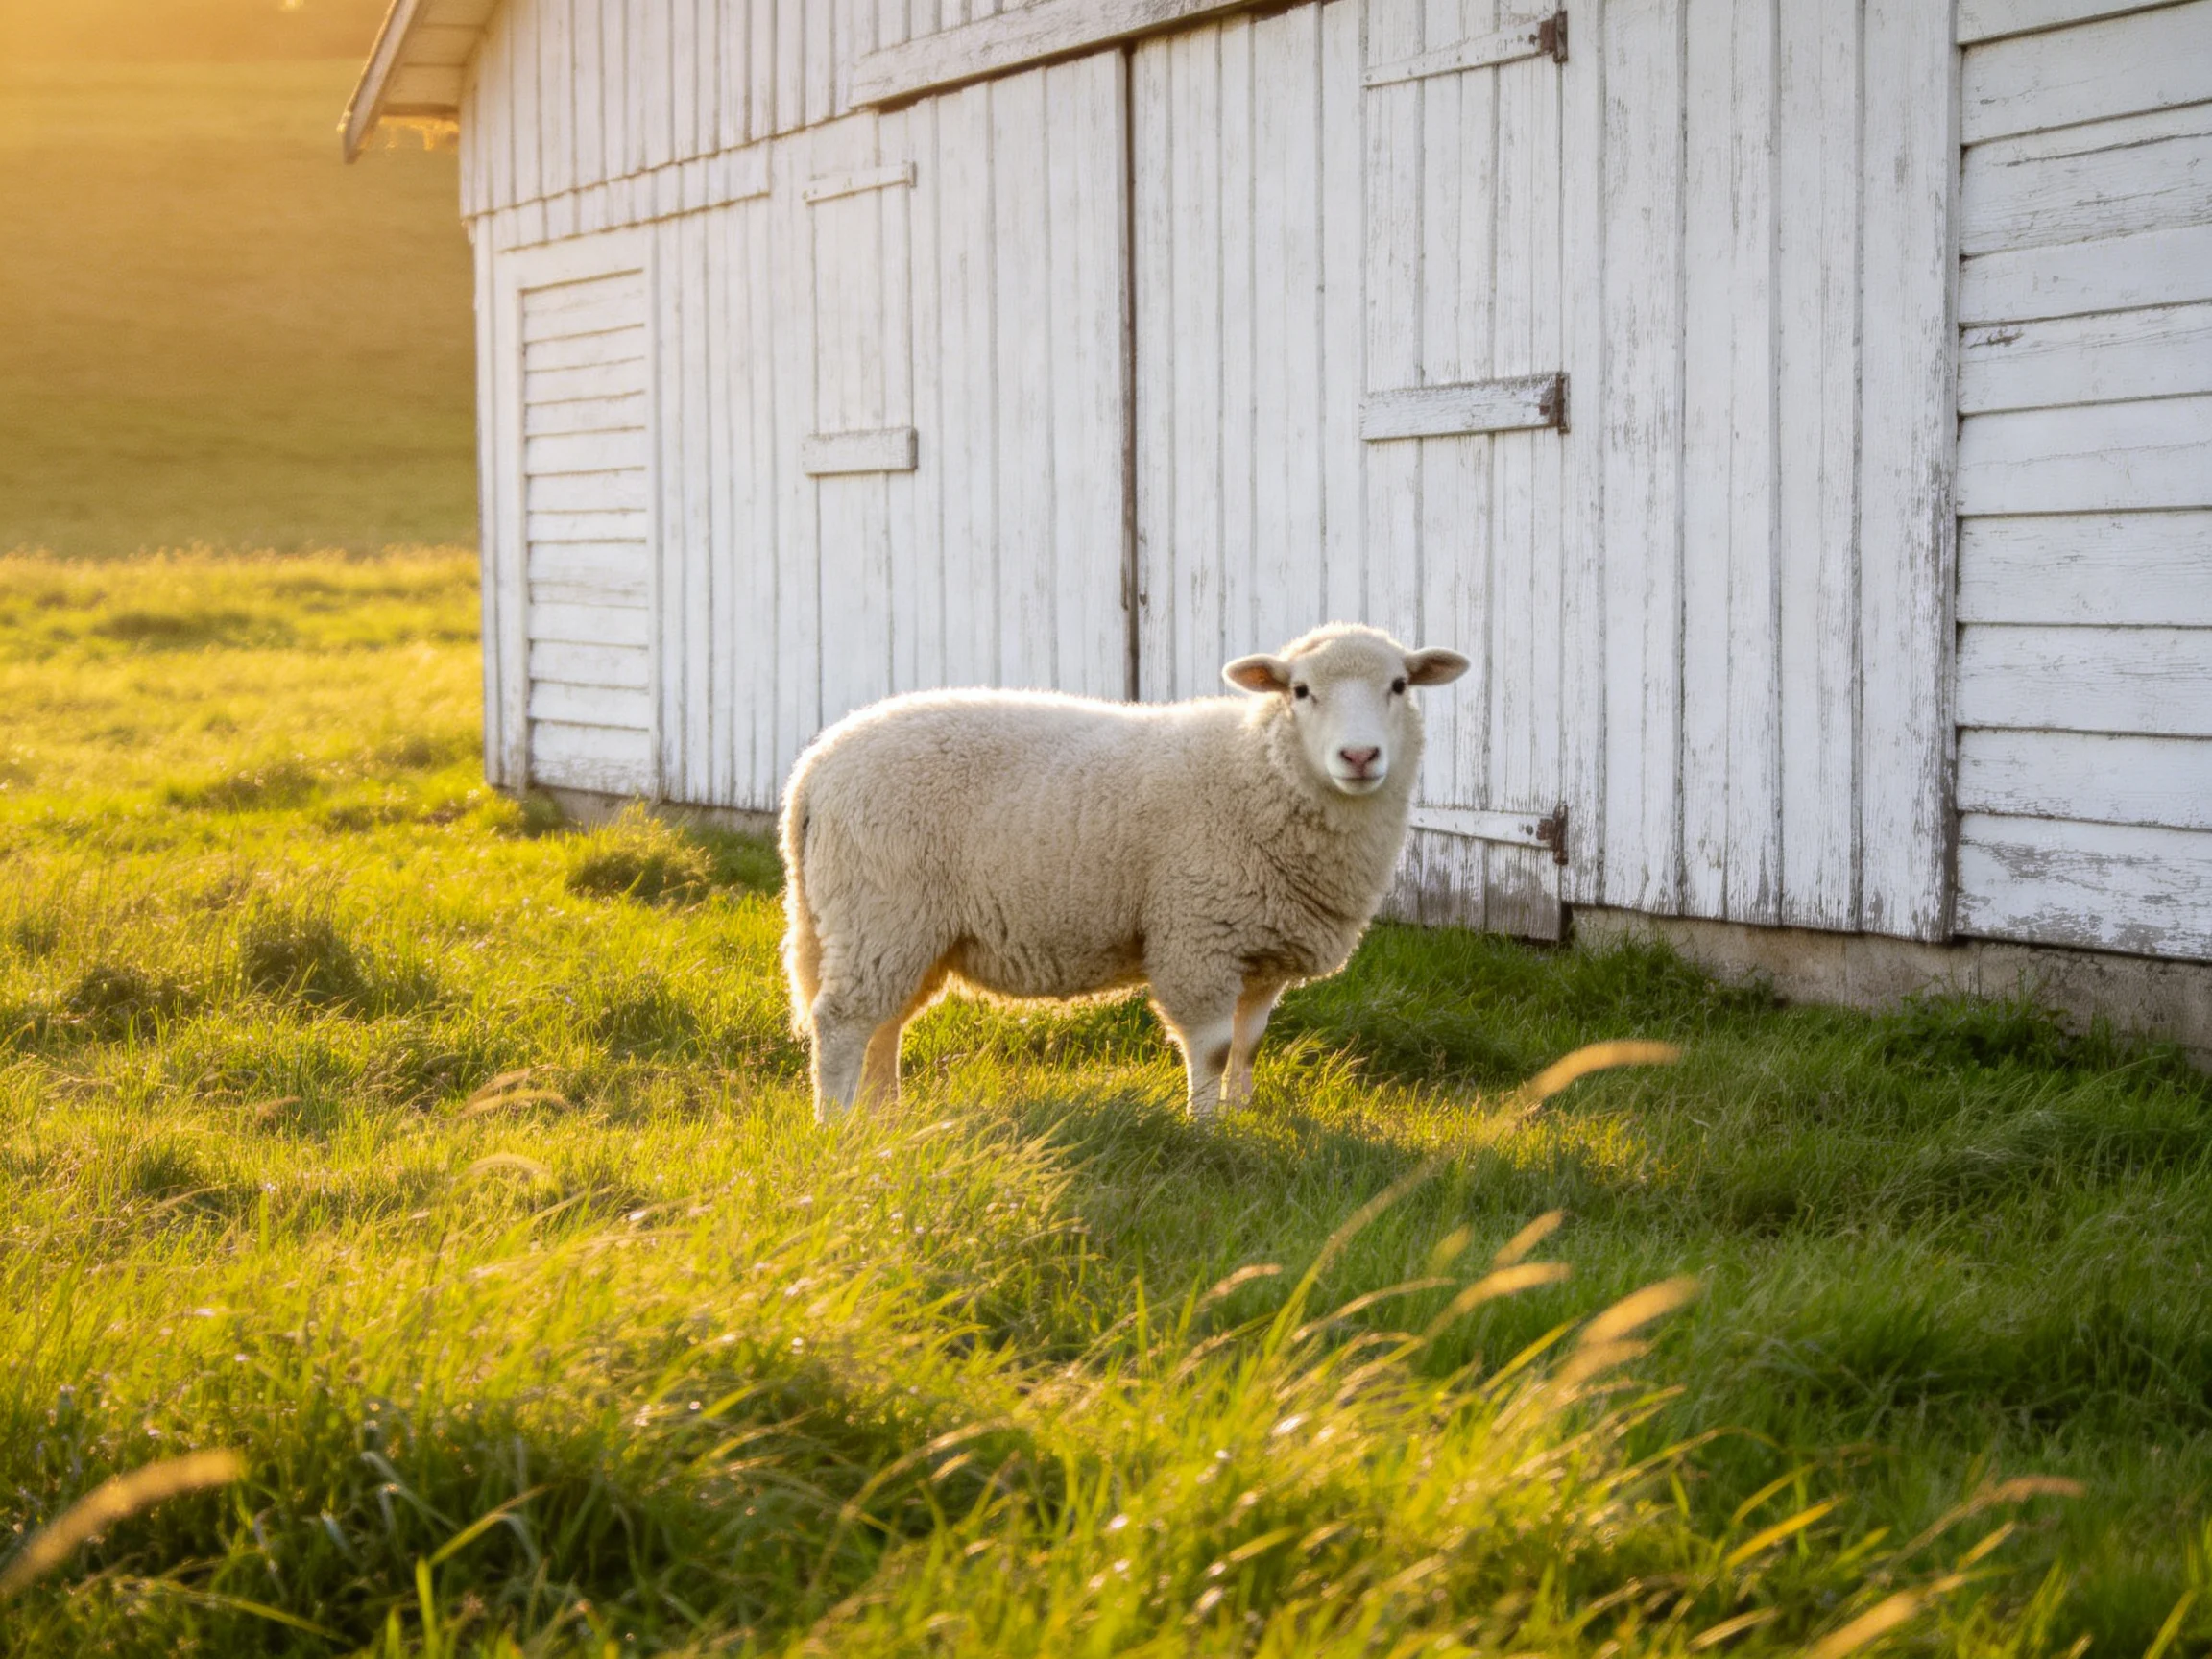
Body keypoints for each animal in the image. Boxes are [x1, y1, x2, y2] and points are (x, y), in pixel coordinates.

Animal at [779, 624, 1470, 1121]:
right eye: (1299, 692)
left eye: (1400, 685)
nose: (1360, 756)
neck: (1260, 771)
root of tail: (815, 767)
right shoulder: (1198, 937)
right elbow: (1213, 1050)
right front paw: (1206, 1129)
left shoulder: (1262, 950)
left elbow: (1248, 1045)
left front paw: (1244, 1119)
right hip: (880, 910)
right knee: (841, 1023)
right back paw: (837, 1127)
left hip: (909, 931)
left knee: (884, 1024)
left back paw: (882, 1117)